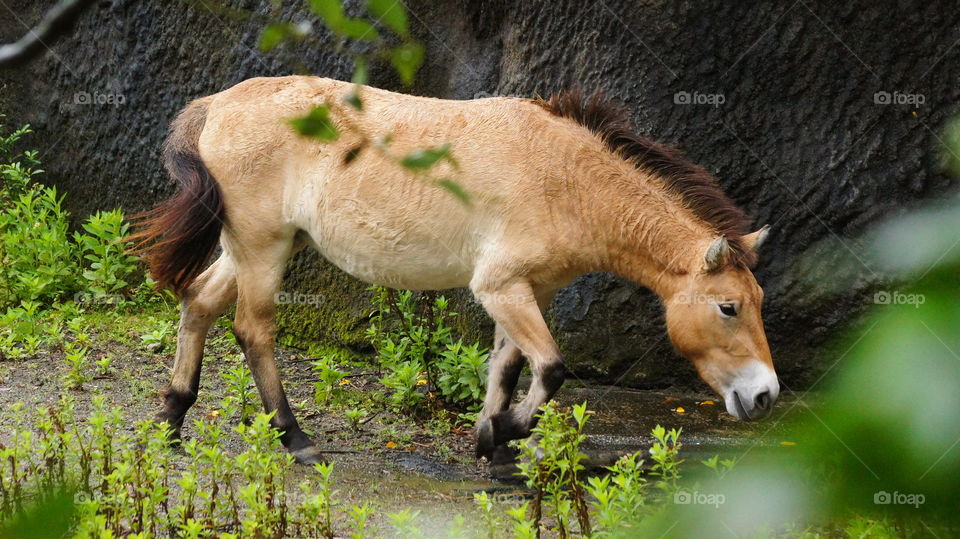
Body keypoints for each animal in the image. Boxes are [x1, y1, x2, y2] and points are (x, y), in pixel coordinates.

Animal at [133, 76, 778, 464]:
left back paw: (172, 419)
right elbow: (551, 368)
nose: (765, 396)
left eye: (757, 301)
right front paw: (506, 433)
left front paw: (494, 443)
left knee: (199, 303)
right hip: (262, 249)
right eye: (728, 307)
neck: (566, 178)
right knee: (253, 329)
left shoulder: (524, 293)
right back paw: (296, 439)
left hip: (250, 247)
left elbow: (508, 369)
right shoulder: (501, 288)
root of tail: (218, 103)